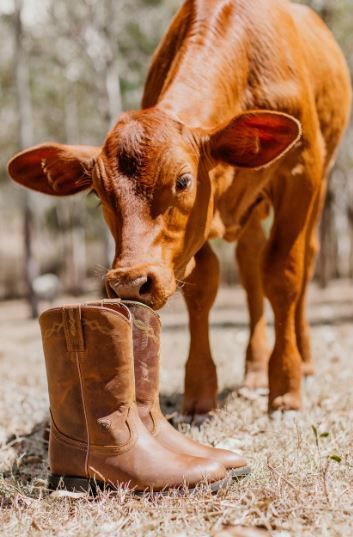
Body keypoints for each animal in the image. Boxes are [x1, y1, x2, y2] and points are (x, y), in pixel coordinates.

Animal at [7, 0, 350, 416]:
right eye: (100, 195)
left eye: (184, 181)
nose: (129, 282)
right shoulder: (193, 233)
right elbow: (204, 285)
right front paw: (200, 389)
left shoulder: (301, 173)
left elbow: (283, 275)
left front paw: (286, 385)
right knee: (250, 267)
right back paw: (254, 369)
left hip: (322, 186)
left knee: (304, 262)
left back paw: (305, 360)